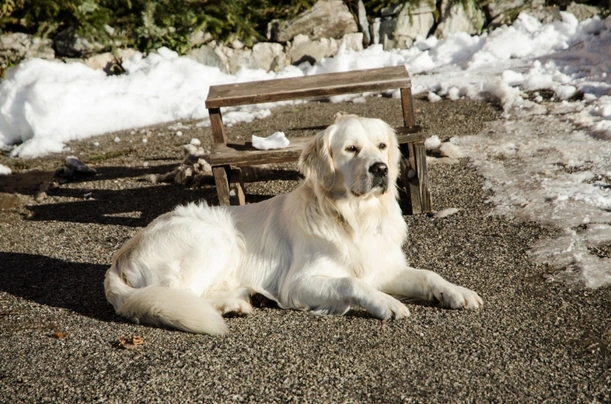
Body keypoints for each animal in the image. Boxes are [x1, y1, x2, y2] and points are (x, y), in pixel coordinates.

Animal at [107, 116, 486, 334]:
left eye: (382, 145)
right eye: (351, 148)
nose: (380, 168)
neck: (354, 218)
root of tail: (121, 256)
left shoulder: (384, 266)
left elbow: (427, 275)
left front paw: (456, 292)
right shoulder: (298, 283)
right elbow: (351, 282)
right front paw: (386, 304)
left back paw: (244, 298)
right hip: (214, 238)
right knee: (181, 293)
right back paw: (234, 303)